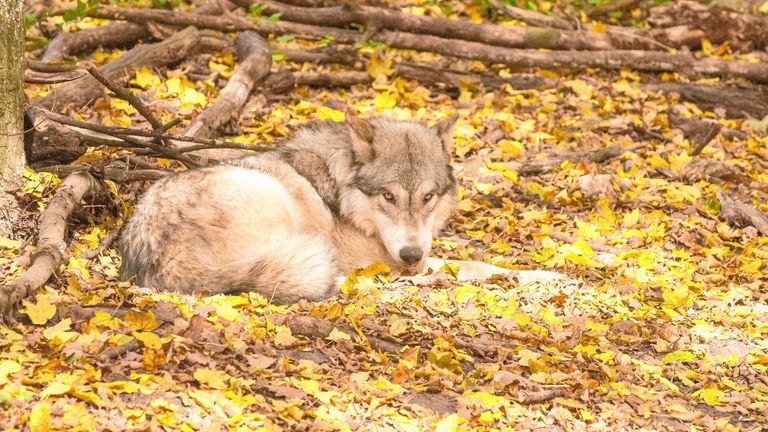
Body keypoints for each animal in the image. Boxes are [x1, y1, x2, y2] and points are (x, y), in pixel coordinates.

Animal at [119, 115, 463, 303]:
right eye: (388, 197)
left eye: (428, 197)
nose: (410, 254)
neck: (338, 189)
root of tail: (158, 259)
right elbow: (453, 264)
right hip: (269, 195)